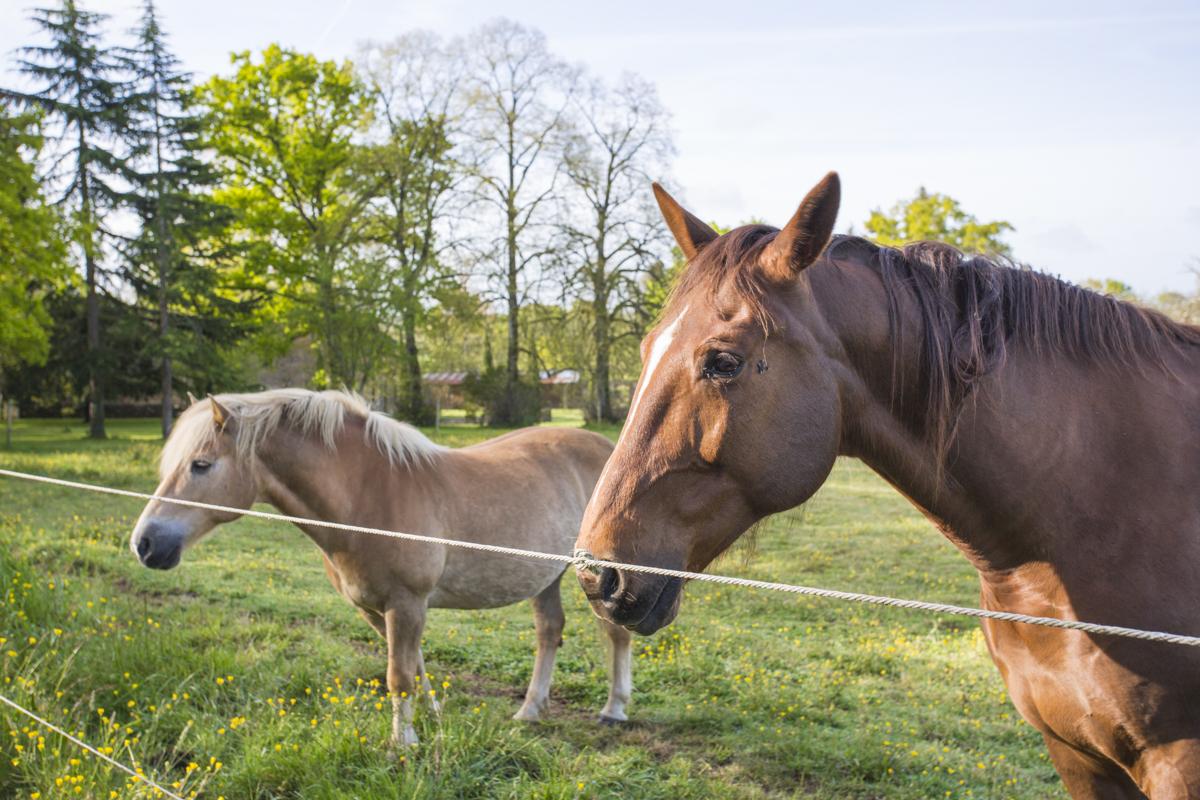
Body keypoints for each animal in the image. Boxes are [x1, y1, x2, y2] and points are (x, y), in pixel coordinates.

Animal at [129, 391, 638, 748]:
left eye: (201, 465)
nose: (145, 543)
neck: (368, 496)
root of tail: (606, 449)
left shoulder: (407, 604)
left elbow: (399, 675)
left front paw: (403, 744)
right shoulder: (374, 609)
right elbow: (414, 667)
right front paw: (433, 718)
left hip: (603, 578)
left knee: (616, 635)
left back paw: (614, 709)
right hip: (546, 578)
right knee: (549, 630)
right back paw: (531, 709)